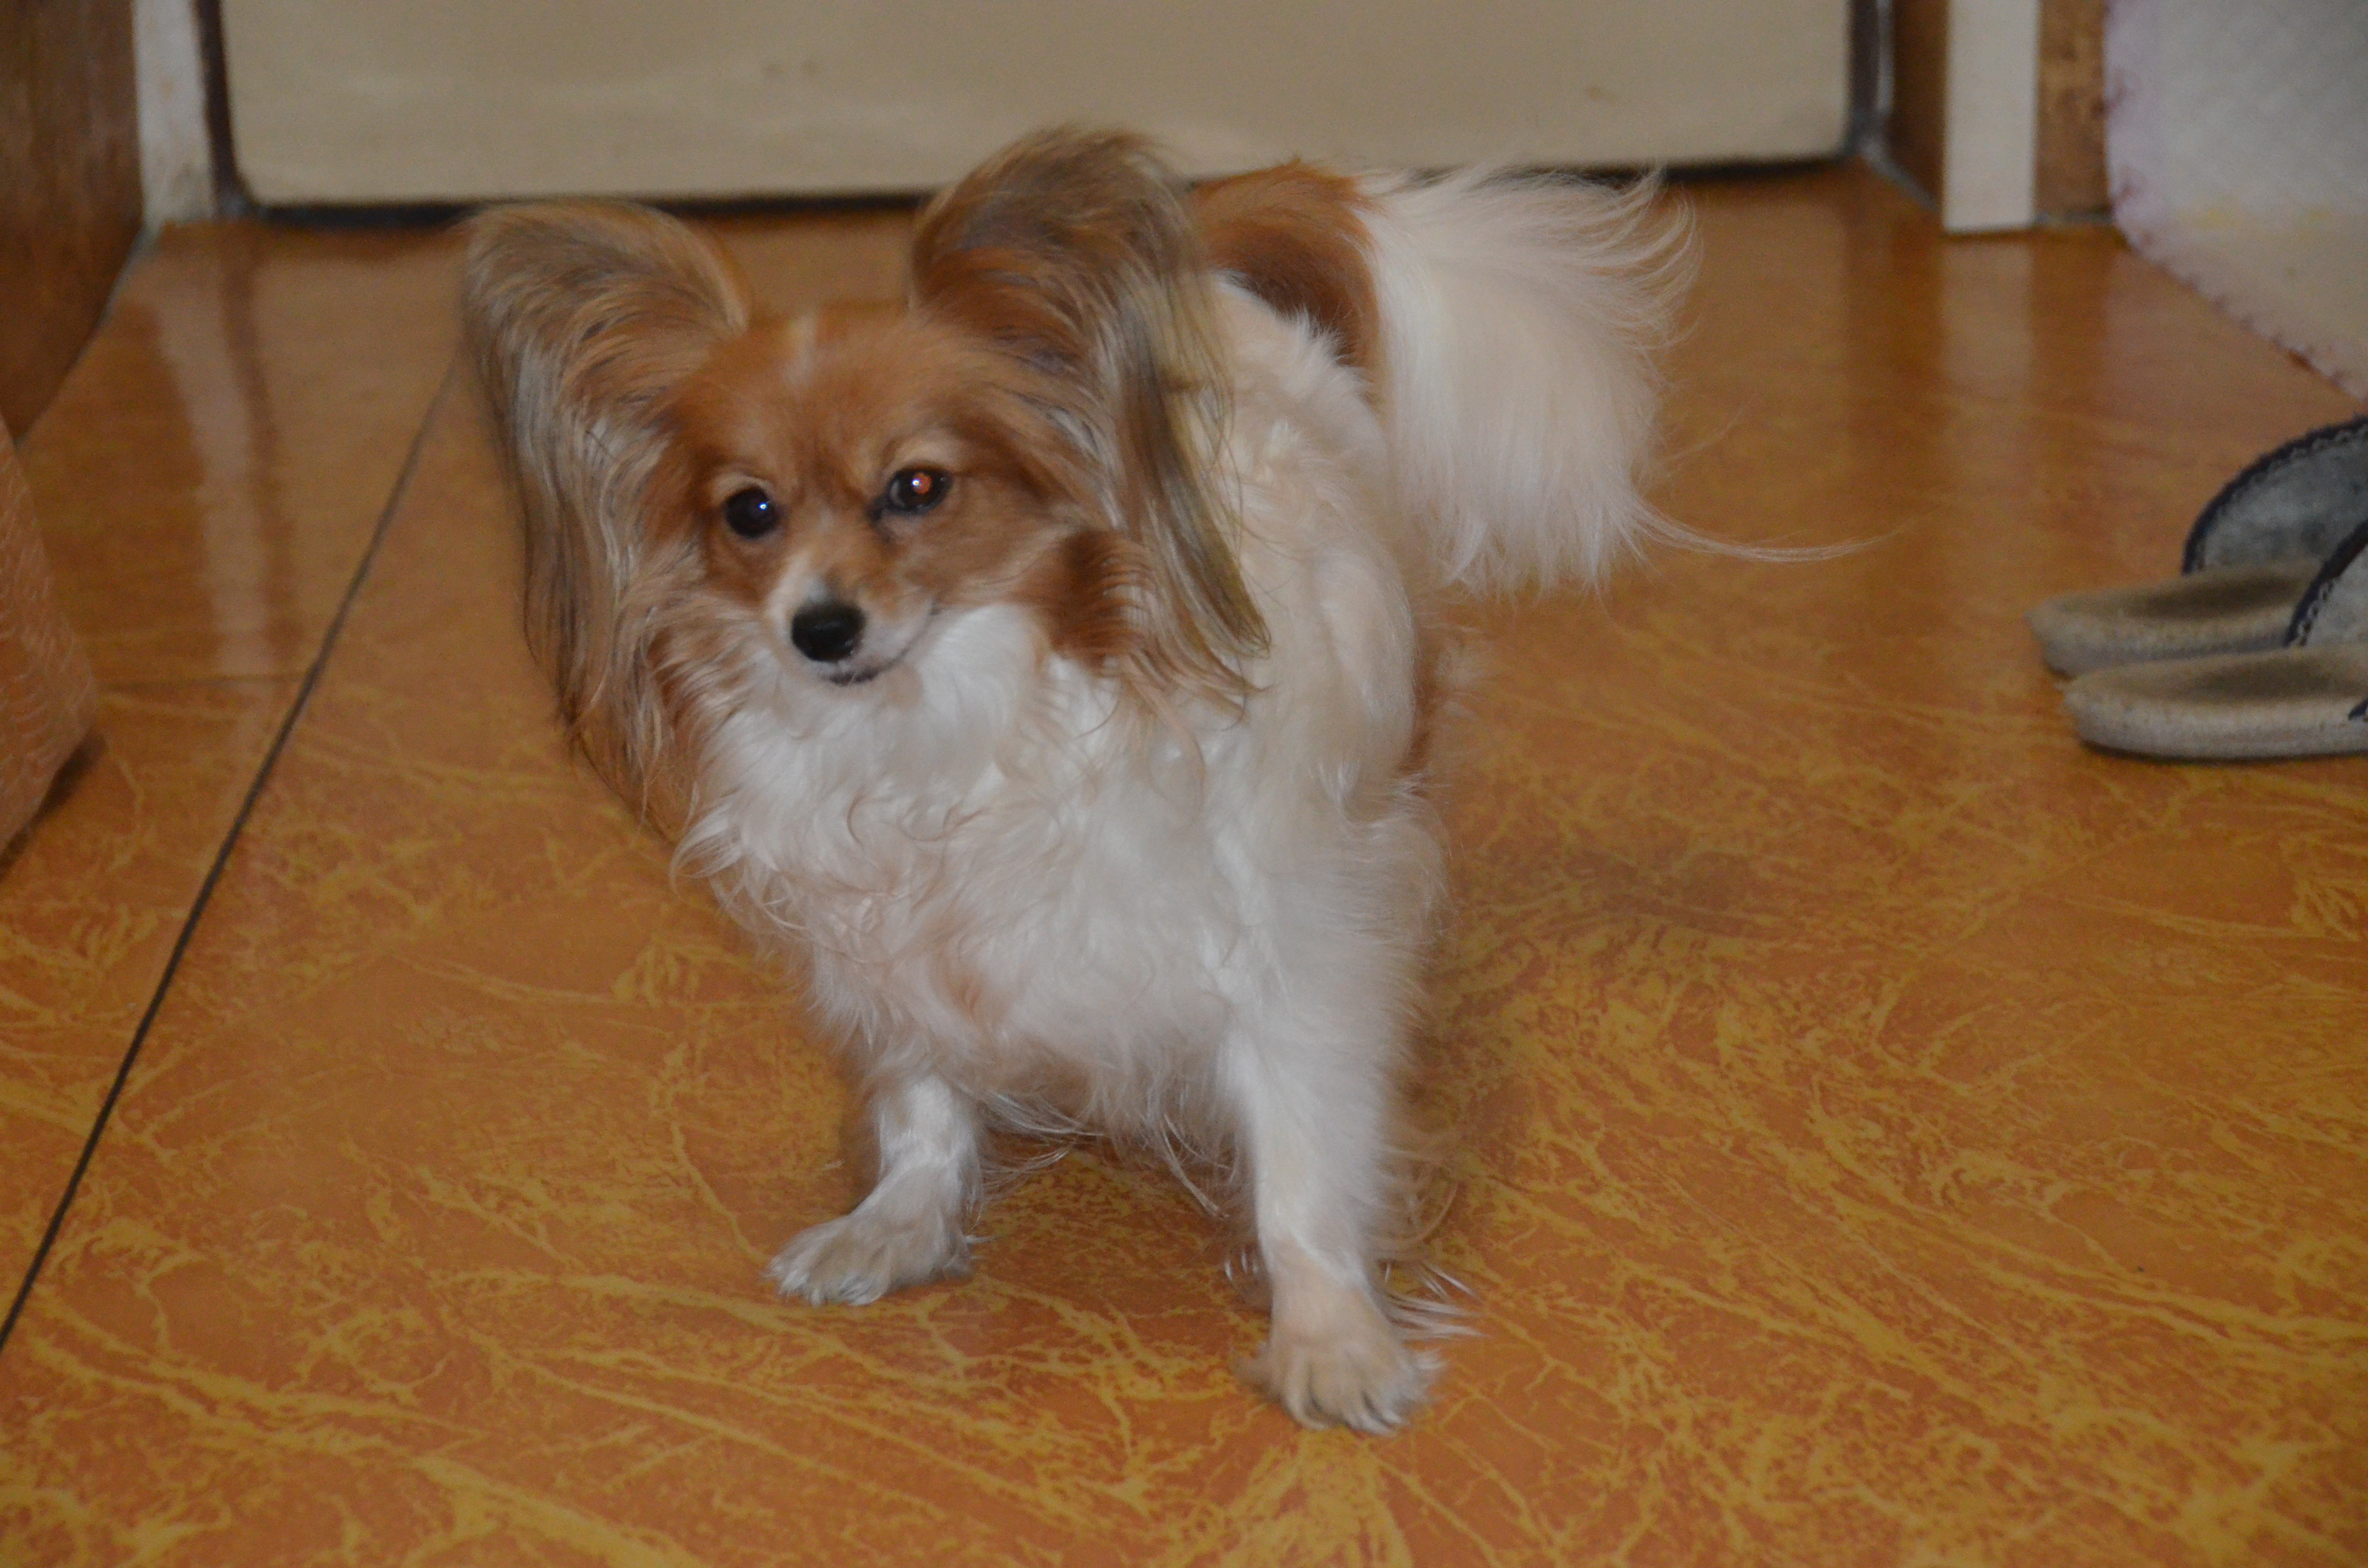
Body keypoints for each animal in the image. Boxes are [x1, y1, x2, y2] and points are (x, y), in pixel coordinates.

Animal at [462, 128, 1684, 1432]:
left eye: (917, 488)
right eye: (750, 512)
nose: (820, 629)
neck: (943, 728)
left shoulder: (1289, 948)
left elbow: (1304, 1158)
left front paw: (1331, 1333)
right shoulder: (890, 945)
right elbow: (921, 1096)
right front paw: (899, 1222)